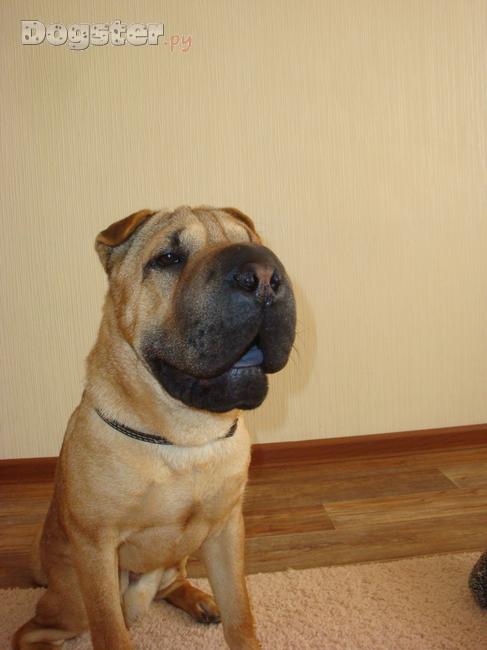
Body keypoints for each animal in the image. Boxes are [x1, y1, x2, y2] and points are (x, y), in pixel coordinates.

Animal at [13, 205, 296, 650]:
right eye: (168, 258)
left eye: (252, 243)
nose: (264, 275)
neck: (186, 436)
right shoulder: (96, 548)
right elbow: (110, 632)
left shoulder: (226, 531)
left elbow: (241, 616)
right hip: (75, 599)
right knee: (32, 629)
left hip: (175, 559)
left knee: (173, 583)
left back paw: (200, 600)